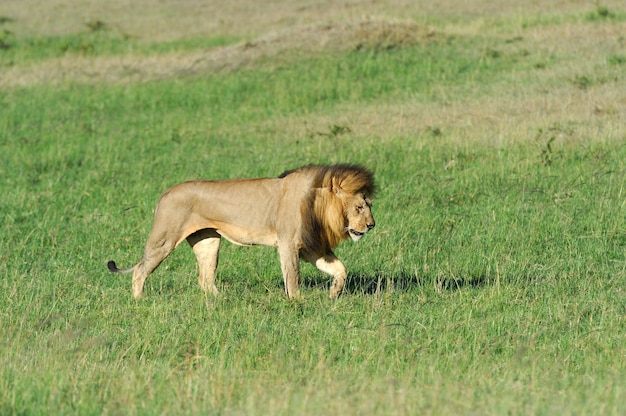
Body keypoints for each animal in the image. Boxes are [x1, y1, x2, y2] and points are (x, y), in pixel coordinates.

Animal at [106, 163, 376, 300]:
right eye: (359, 207)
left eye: (370, 206)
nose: (371, 225)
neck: (319, 205)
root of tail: (165, 193)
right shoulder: (288, 243)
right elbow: (293, 277)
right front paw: (297, 303)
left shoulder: (311, 247)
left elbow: (340, 269)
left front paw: (333, 293)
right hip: (165, 239)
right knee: (140, 269)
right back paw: (139, 301)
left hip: (208, 242)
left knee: (205, 279)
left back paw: (221, 302)